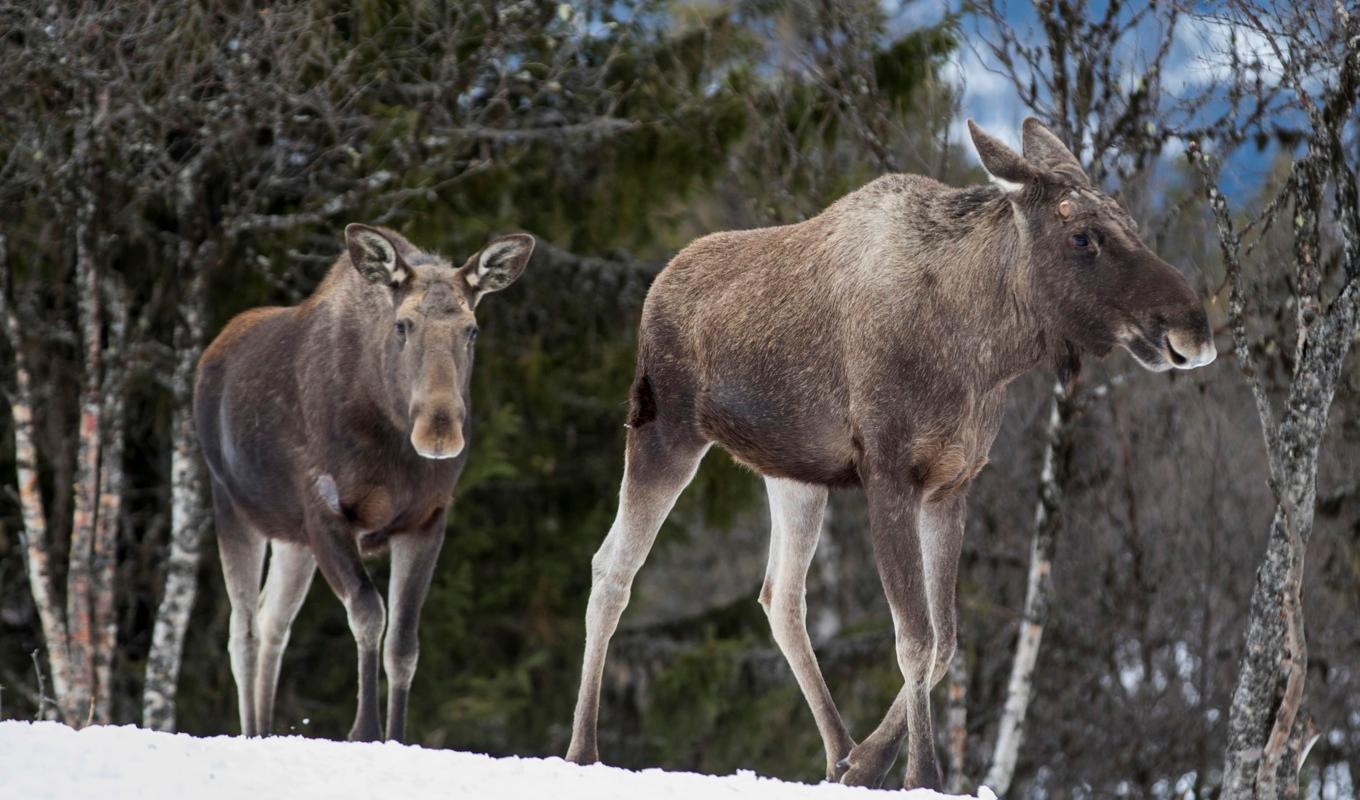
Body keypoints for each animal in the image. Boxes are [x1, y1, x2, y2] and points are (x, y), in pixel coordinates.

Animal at [197, 221, 535, 740]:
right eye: (403, 325)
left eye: (472, 329)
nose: (439, 430)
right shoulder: (327, 512)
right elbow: (369, 614)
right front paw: (365, 729)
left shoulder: (426, 521)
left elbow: (404, 643)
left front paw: (396, 734)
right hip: (232, 506)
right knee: (244, 630)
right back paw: (253, 731)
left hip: (292, 539)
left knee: (275, 621)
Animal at [565, 119, 1224, 789]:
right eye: (1082, 236)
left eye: (1129, 223)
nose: (1193, 331)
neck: (985, 351)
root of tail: (656, 286)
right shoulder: (888, 473)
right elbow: (916, 639)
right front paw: (921, 773)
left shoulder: (951, 485)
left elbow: (946, 642)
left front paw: (867, 763)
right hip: (664, 432)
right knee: (612, 568)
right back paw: (583, 748)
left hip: (793, 476)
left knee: (781, 597)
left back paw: (838, 749)